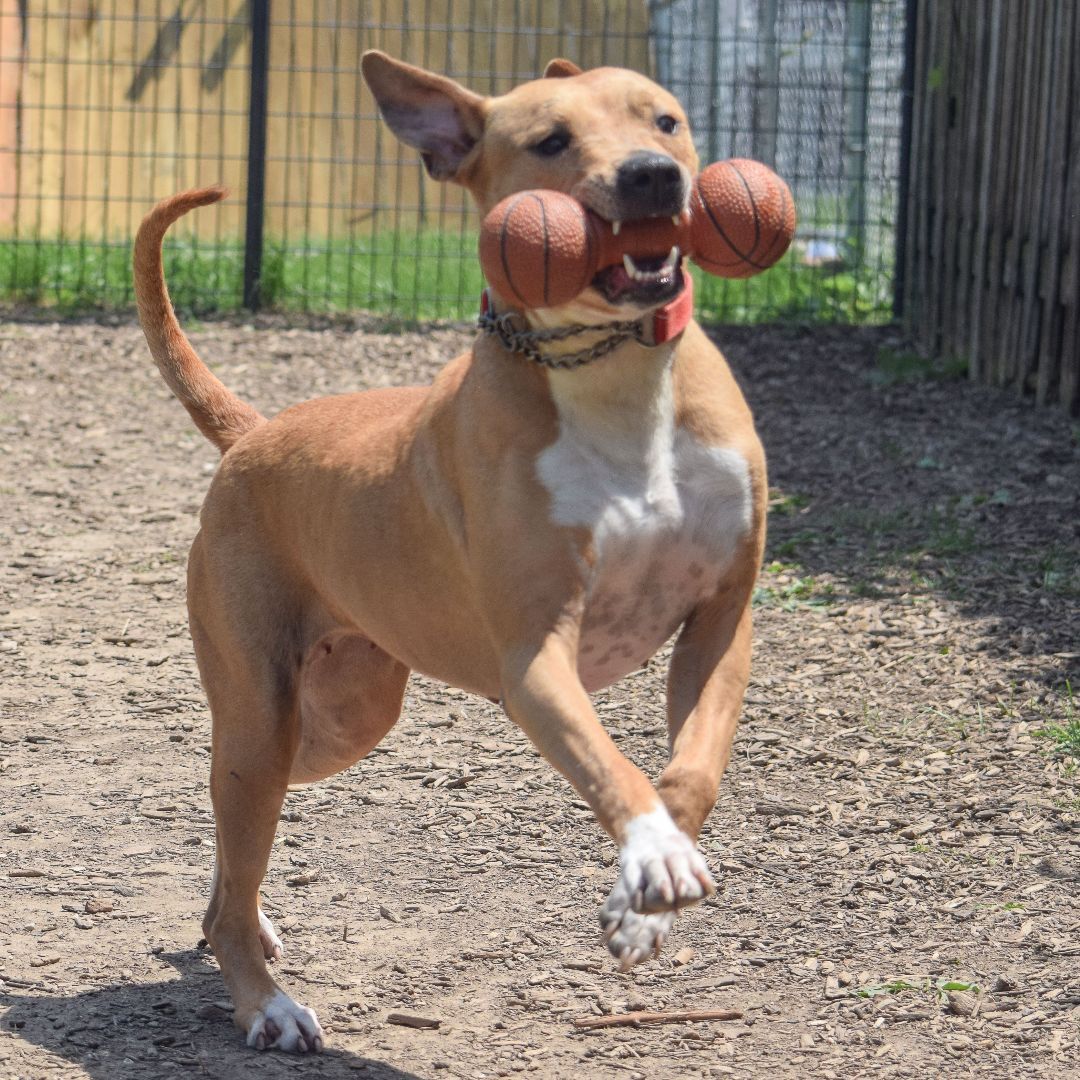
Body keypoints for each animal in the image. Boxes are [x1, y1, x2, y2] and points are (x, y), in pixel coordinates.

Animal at [132, 52, 768, 1054]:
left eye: (664, 119)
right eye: (550, 140)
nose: (652, 178)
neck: (613, 373)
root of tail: (255, 434)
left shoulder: (719, 624)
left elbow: (688, 770)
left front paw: (645, 897)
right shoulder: (537, 660)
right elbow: (613, 764)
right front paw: (652, 855)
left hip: (343, 716)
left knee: (237, 838)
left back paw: (239, 920)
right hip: (262, 717)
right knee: (236, 817)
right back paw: (264, 998)